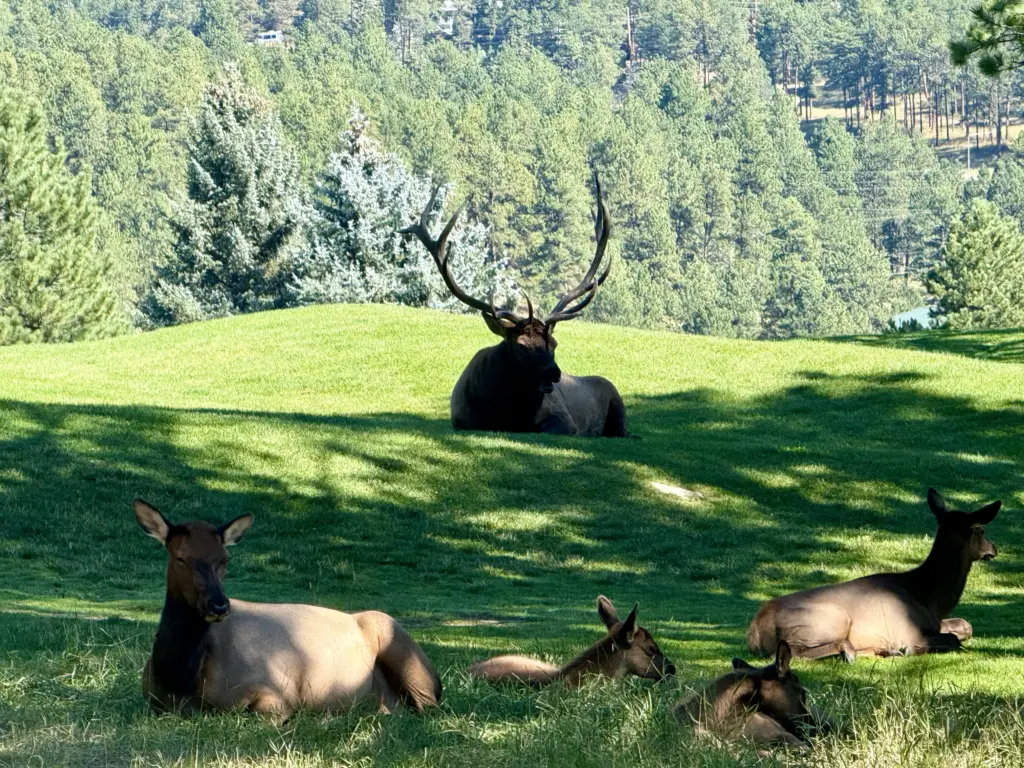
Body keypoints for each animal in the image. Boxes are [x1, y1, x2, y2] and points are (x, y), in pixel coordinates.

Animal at [134, 499, 442, 719]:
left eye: (225, 558)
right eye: (180, 558)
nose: (219, 604)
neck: (182, 682)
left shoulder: (278, 690)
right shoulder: (151, 701)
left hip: (403, 650)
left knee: (427, 708)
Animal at [400, 176, 628, 437]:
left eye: (554, 343)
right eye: (521, 345)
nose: (554, 372)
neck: (508, 415)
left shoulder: (565, 421)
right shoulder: (461, 420)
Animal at [747, 488, 1002, 661]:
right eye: (981, 530)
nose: (994, 549)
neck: (931, 600)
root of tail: (756, 630)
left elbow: (965, 626)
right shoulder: (911, 631)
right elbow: (953, 639)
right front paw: (909, 649)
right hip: (830, 619)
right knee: (796, 651)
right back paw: (858, 652)